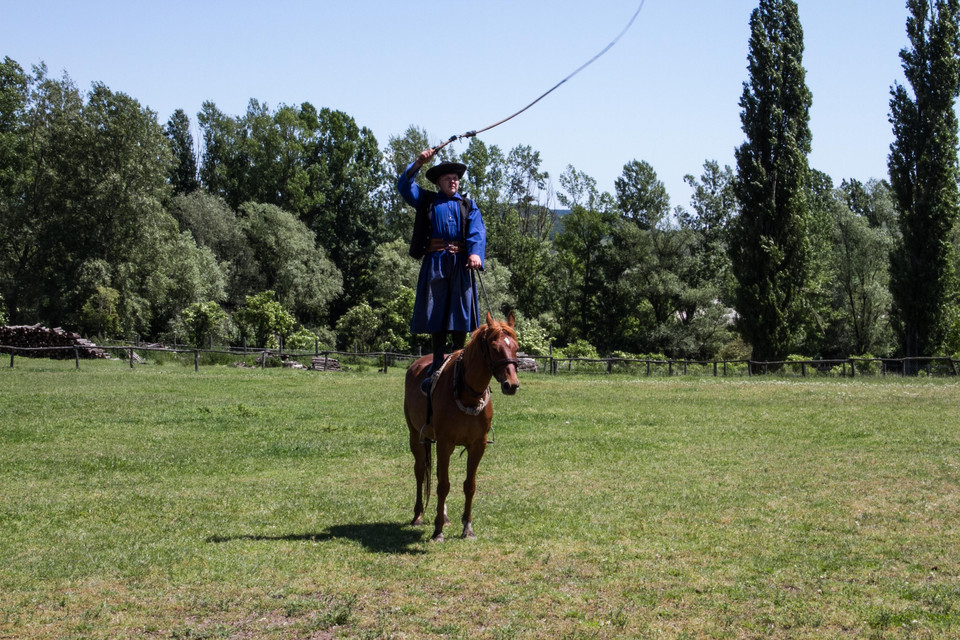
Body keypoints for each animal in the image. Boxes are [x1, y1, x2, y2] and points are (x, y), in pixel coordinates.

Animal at [406, 310, 524, 540]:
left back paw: (444, 516)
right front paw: (438, 531)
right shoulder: (444, 443)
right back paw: (418, 515)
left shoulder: (478, 445)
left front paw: (467, 527)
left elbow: (469, 485)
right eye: (495, 348)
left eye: (515, 347)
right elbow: (443, 486)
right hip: (416, 436)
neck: (467, 392)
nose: (511, 385)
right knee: (420, 471)